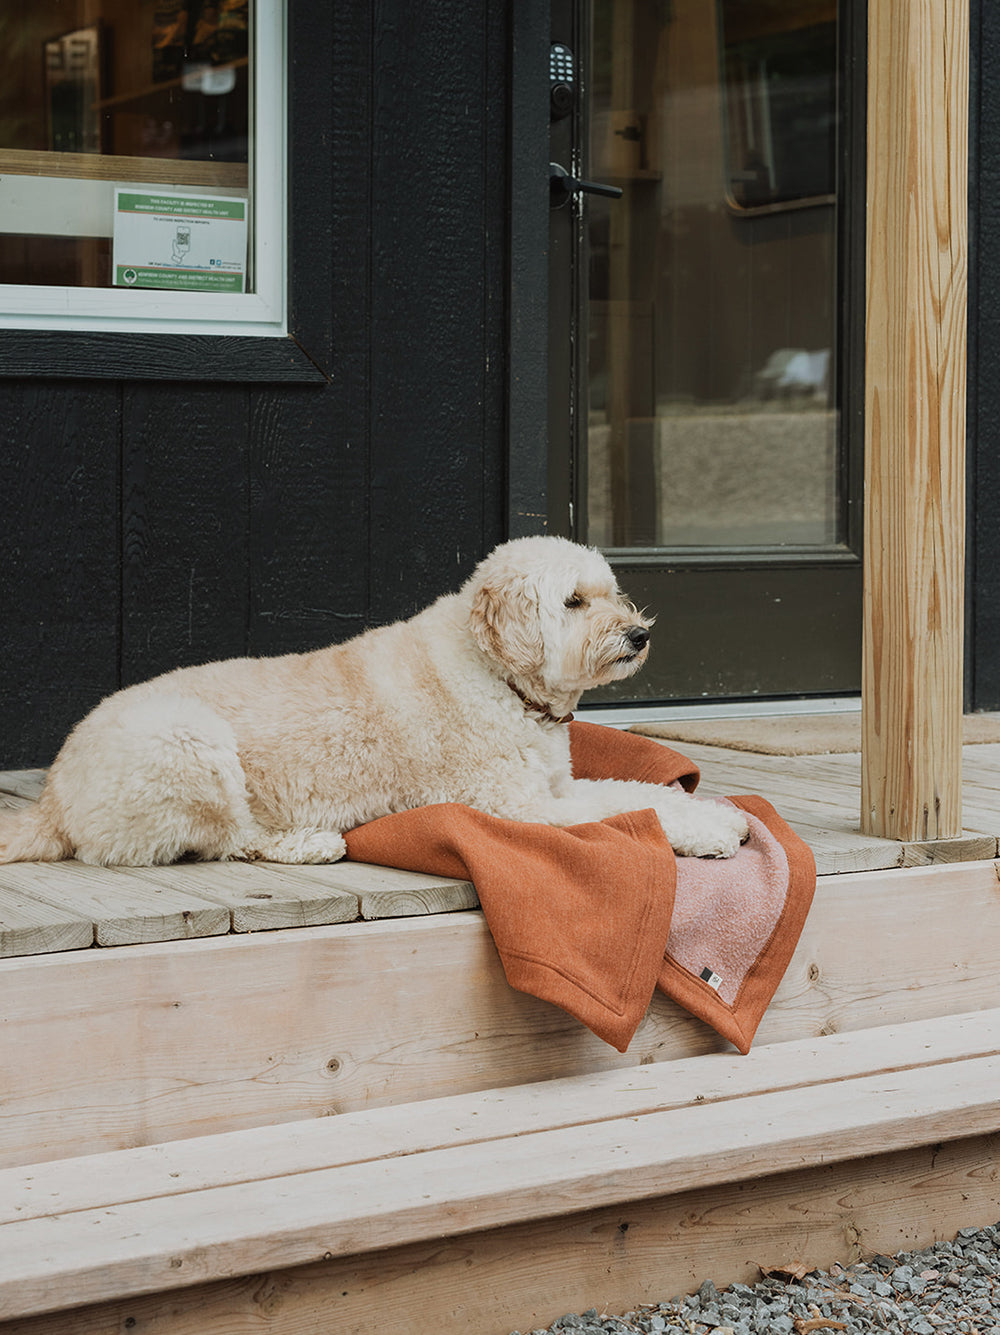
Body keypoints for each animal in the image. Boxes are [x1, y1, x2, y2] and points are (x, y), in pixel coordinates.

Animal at [0, 536, 747, 870]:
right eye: (573, 601)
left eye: (612, 591)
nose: (639, 634)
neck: (496, 677)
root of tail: (53, 795)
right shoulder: (520, 807)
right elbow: (635, 811)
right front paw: (709, 830)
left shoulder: (557, 786)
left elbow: (634, 790)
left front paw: (718, 812)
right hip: (190, 745)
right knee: (234, 841)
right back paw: (310, 841)